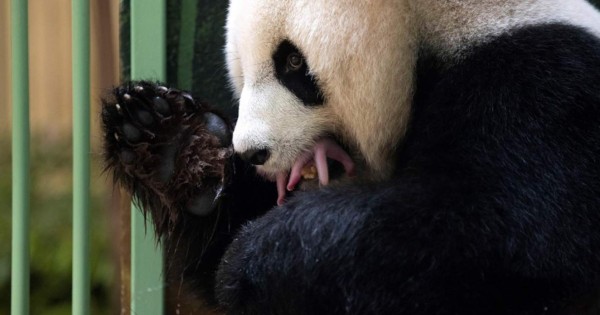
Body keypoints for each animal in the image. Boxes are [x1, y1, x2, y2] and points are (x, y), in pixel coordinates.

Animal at [101, 0, 600, 314]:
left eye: (293, 63)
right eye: (241, 70)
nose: (253, 152)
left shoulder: (543, 91)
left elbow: (486, 227)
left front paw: (254, 258)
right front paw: (173, 142)